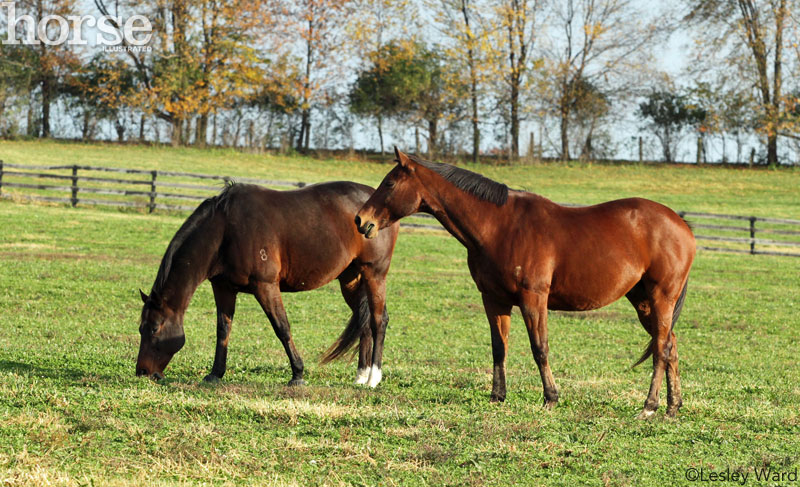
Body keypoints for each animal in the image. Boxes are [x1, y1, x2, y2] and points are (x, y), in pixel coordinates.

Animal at [139, 183, 400, 388]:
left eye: (154, 328)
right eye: (141, 328)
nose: (141, 371)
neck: (225, 231)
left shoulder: (265, 286)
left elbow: (281, 328)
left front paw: (297, 374)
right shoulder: (223, 288)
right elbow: (223, 330)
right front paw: (215, 374)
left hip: (374, 274)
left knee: (378, 320)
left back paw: (373, 378)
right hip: (350, 279)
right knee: (364, 320)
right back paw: (361, 376)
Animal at [354, 150, 692, 420]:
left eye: (389, 184)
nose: (360, 220)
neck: (499, 226)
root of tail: (681, 225)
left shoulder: (533, 299)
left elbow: (539, 348)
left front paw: (551, 398)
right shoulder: (494, 300)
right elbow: (498, 348)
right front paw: (497, 396)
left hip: (661, 298)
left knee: (661, 349)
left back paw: (649, 406)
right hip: (643, 300)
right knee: (670, 345)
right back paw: (672, 407)